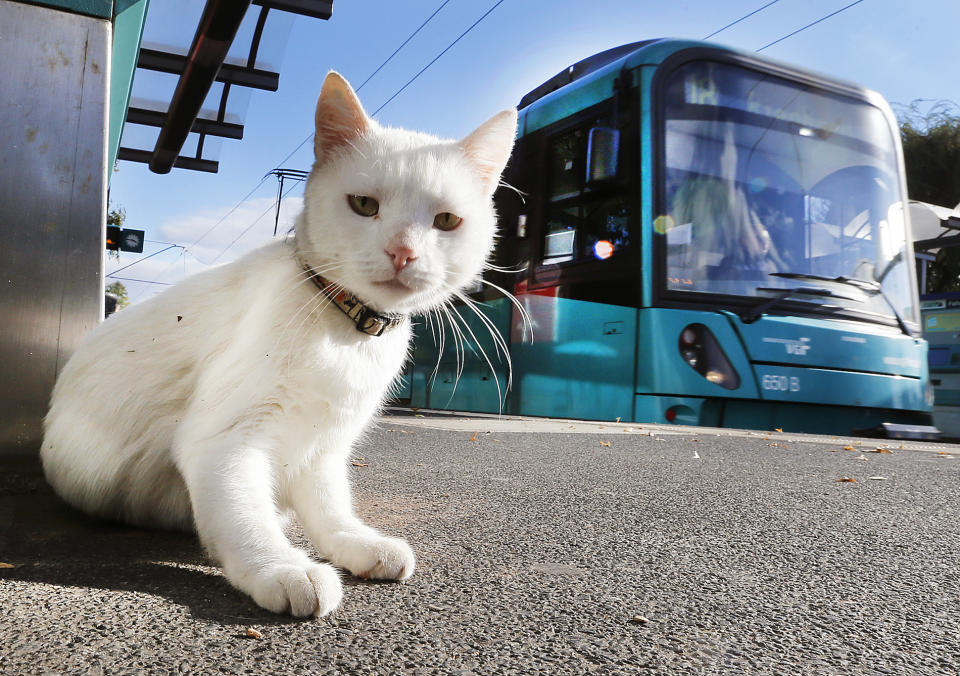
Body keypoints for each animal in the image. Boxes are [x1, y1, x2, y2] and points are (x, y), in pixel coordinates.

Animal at [41, 74, 516, 616]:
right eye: (365, 205)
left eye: (446, 221)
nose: (403, 251)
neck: (345, 336)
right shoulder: (224, 440)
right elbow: (245, 513)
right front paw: (283, 566)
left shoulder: (325, 448)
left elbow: (330, 507)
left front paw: (356, 542)